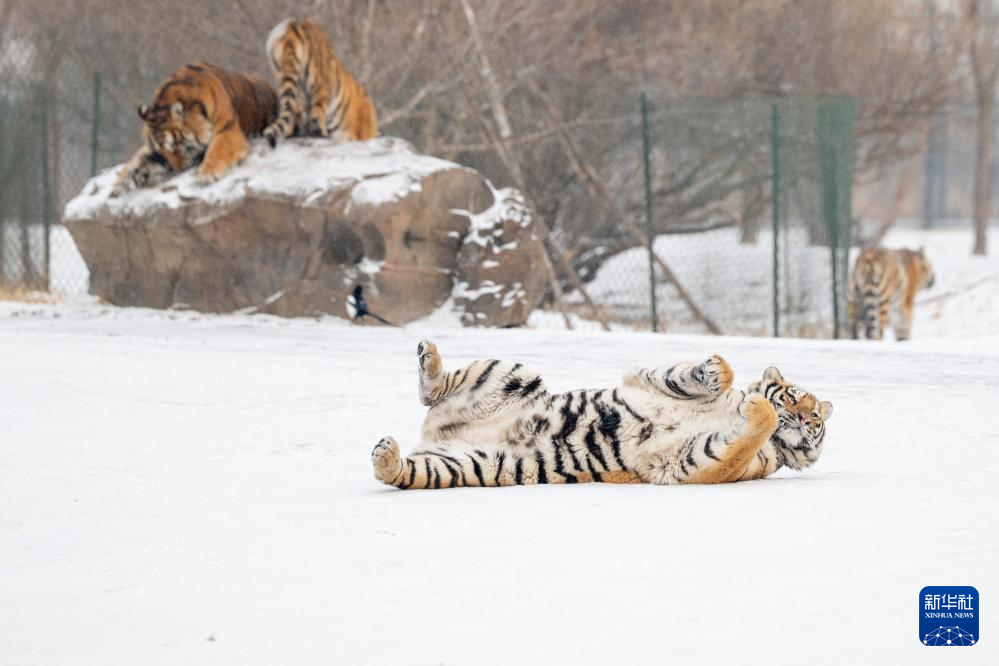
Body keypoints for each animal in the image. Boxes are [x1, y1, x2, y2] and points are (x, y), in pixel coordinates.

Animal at [111, 63, 277, 195]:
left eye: (174, 145)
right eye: (161, 151)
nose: (174, 170)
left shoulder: (227, 130)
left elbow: (217, 151)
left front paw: (207, 175)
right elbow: (138, 158)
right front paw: (122, 181)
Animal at [263, 18, 378, 147]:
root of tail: (293, 25)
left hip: (284, 76)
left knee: (293, 107)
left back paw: (294, 134)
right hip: (318, 84)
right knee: (316, 115)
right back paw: (321, 134)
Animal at [371, 340, 833, 489]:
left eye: (815, 422)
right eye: (795, 398)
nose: (805, 417)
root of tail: (434, 432)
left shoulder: (695, 463)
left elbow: (744, 434)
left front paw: (755, 407)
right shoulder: (651, 379)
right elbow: (694, 376)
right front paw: (718, 370)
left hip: (468, 464)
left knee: (403, 470)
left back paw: (385, 454)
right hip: (511, 373)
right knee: (432, 391)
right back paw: (428, 354)